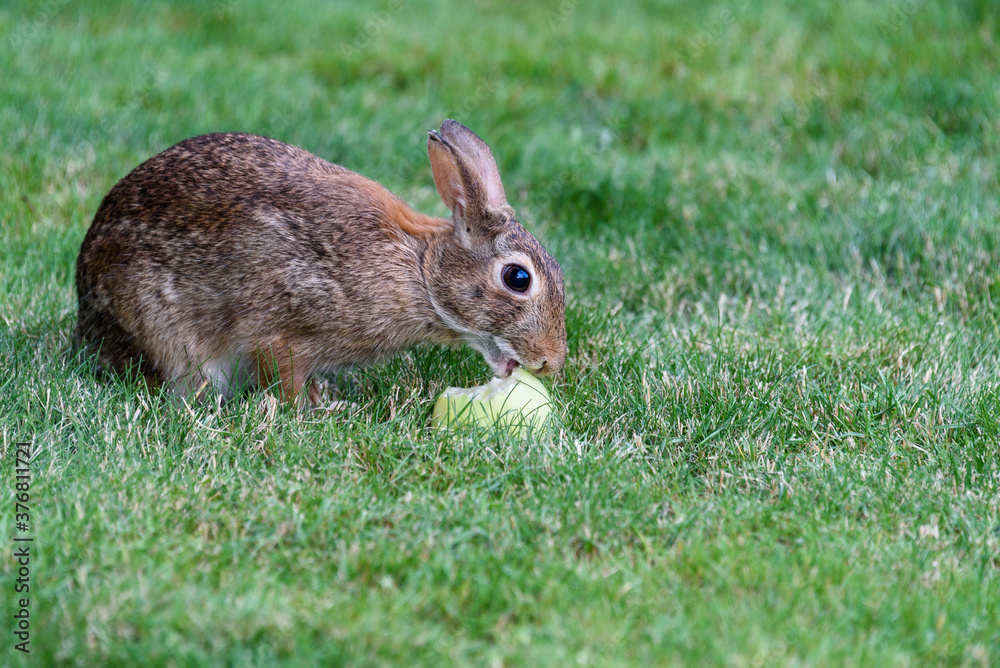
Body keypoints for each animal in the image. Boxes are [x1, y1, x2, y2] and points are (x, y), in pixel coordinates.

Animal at [74, 120, 567, 406]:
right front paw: (311, 412)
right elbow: (283, 375)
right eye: (517, 278)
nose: (551, 363)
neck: (421, 271)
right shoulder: (280, 328)